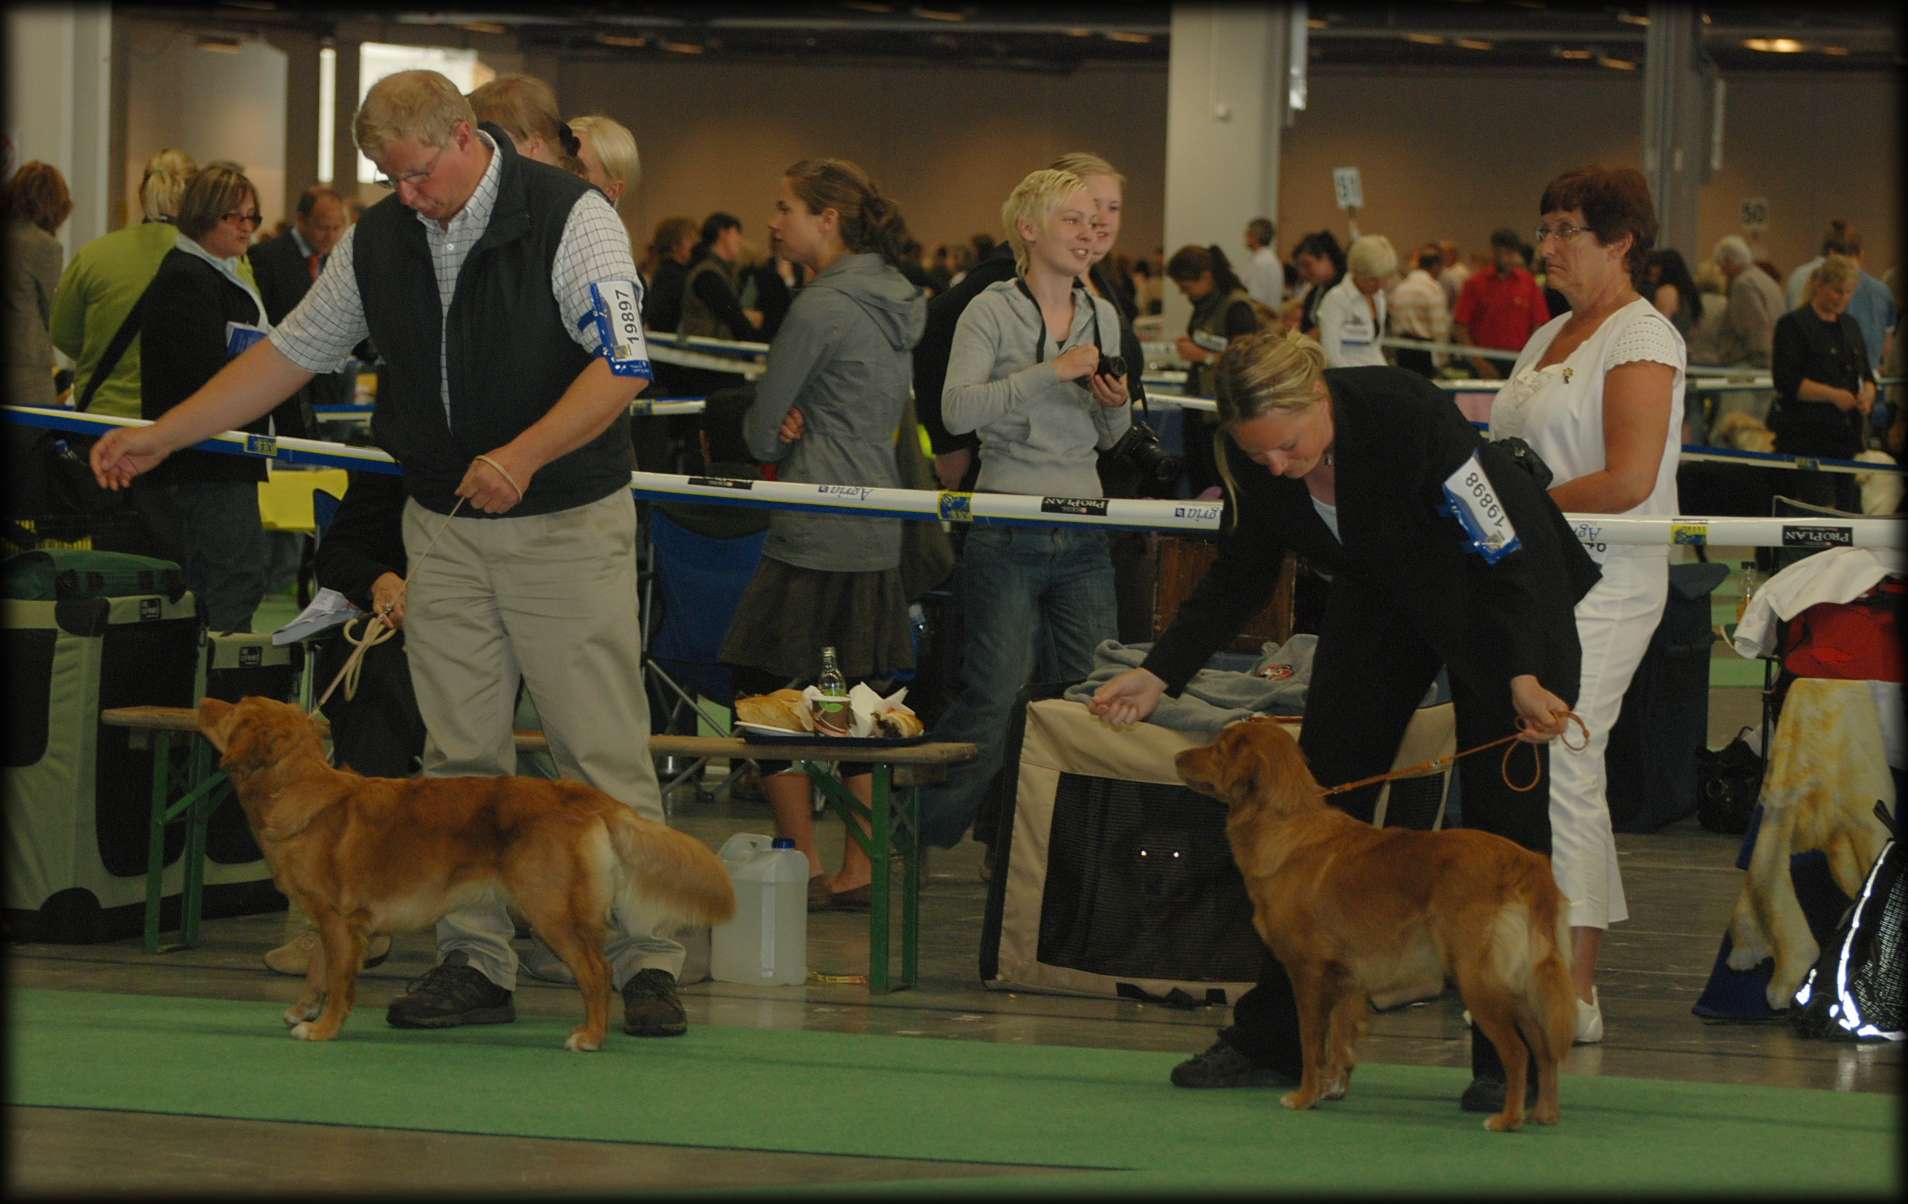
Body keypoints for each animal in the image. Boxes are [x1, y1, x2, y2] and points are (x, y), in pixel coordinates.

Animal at [199, 698, 736, 1053]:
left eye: (233, 708)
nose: (203, 700)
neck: (298, 789)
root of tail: (578, 794)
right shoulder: (329, 920)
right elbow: (318, 970)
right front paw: (303, 1011)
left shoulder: (339, 921)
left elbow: (340, 981)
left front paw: (324, 1029)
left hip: (550, 910)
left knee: (598, 973)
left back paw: (591, 1036)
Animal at [1182, 721, 1572, 1137]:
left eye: (1218, 748)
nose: (1178, 756)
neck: (1285, 824)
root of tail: (1526, 860)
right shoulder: (1346, 975)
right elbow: (1340, 1037)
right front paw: (1333, 1087)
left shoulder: (1308, 972)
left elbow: (1310, 1042)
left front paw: (1305, 1097)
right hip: (1518, 982)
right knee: (1545, 1049)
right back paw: (1546, 1113)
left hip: (1477, 979)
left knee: (1518, 1054)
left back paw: (1507, 1117)